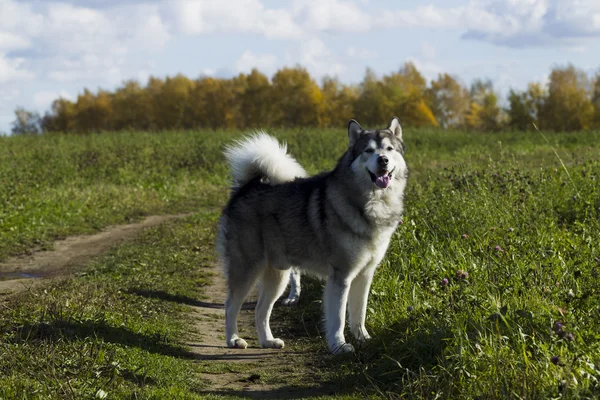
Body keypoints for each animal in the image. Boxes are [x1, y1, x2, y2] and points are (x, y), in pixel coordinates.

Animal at [216, 116, 408, 354]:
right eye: (368, 150)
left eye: (389, 149)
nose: (383, 160)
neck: (372, 203)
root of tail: (247, 187)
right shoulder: (341, 276)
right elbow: (338, 318)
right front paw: (338, 345)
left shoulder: (365, 275)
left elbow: (358, 312)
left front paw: (363, 338)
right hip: (246, 268)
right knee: (231, 305)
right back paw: (233, 339)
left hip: (277, 275)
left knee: (261, 310)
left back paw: (267, 340)